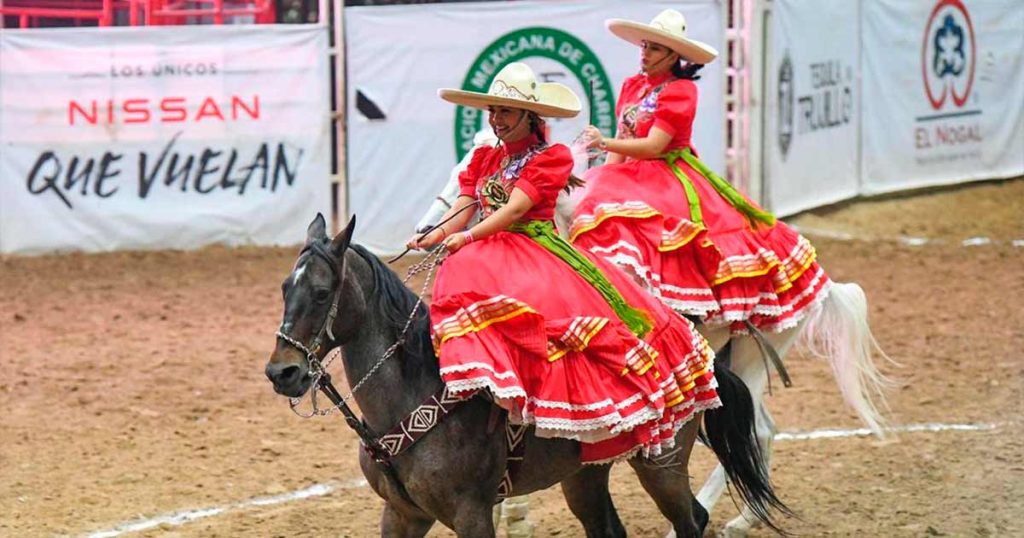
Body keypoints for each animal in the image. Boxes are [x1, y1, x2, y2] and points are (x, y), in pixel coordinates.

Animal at [268, 215, 786, 536]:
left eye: (321, 293)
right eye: (284, 288)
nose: (282, 371)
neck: (415, 396)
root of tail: (700, 351)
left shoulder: (473, 514)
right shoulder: (401, 515)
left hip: (663, 467)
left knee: (691, 520)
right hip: (585, 476)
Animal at [413, 132, 888, 532]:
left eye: (466, 176)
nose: (423, 231)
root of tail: (823, 280)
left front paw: (515, 513)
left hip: (752, 360)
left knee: (755, 431)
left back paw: (710, 518)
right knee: (763, 430)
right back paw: (745, 519)